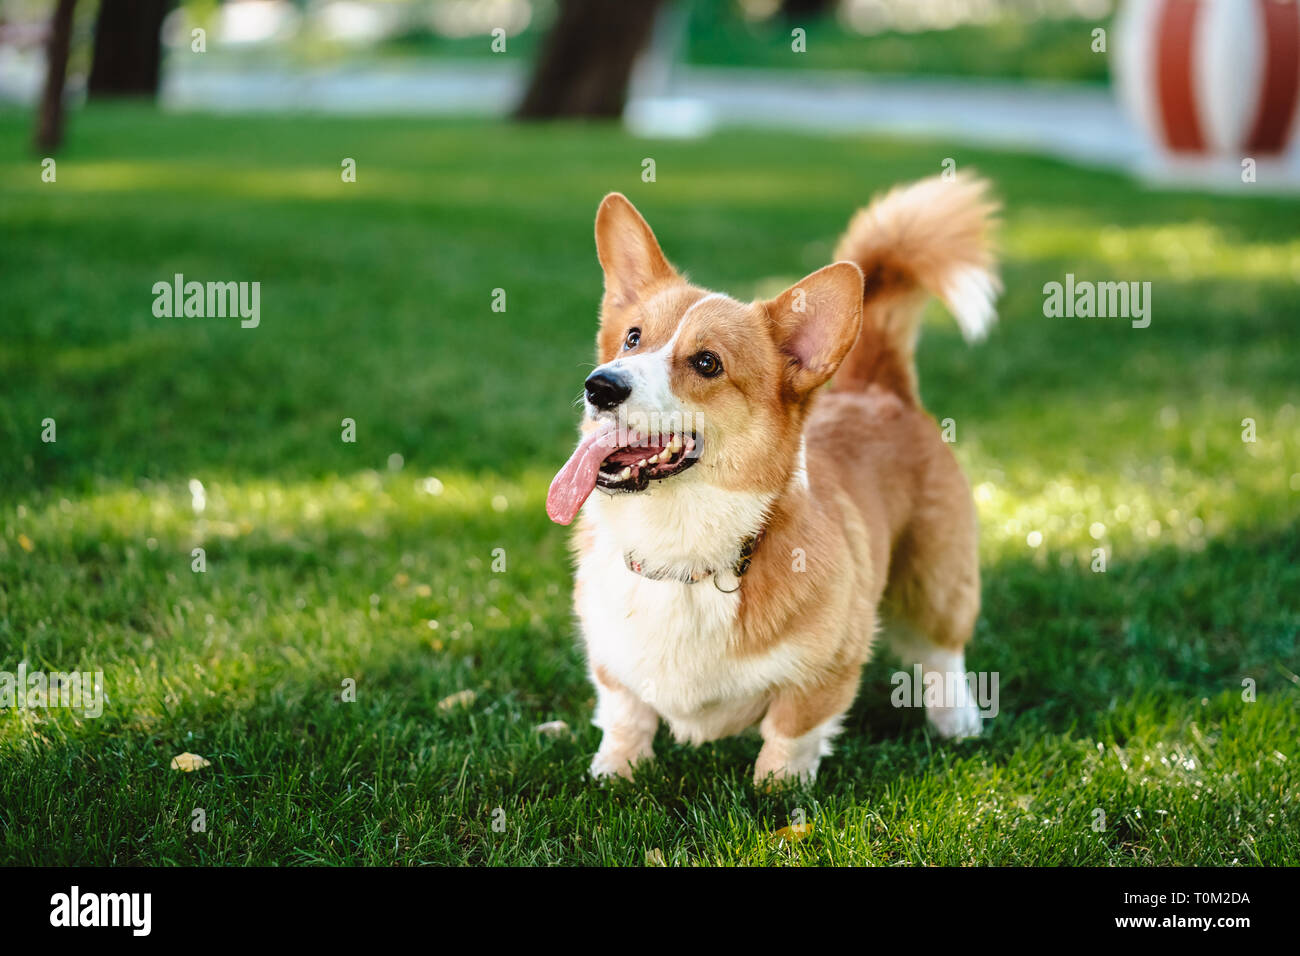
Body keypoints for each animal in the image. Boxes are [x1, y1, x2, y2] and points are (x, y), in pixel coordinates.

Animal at [543, 171, 998, 785]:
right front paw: (614, 773)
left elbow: (790, 734)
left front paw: (778, 791)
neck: (680, 553)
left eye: (707, 363)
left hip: (936, 579)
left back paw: (958, 723)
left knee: (942, 655)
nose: (600, 385)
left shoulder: (826, 671)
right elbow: (625, 717)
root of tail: (879, 388)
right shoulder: (612, 665)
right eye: (632, 338)